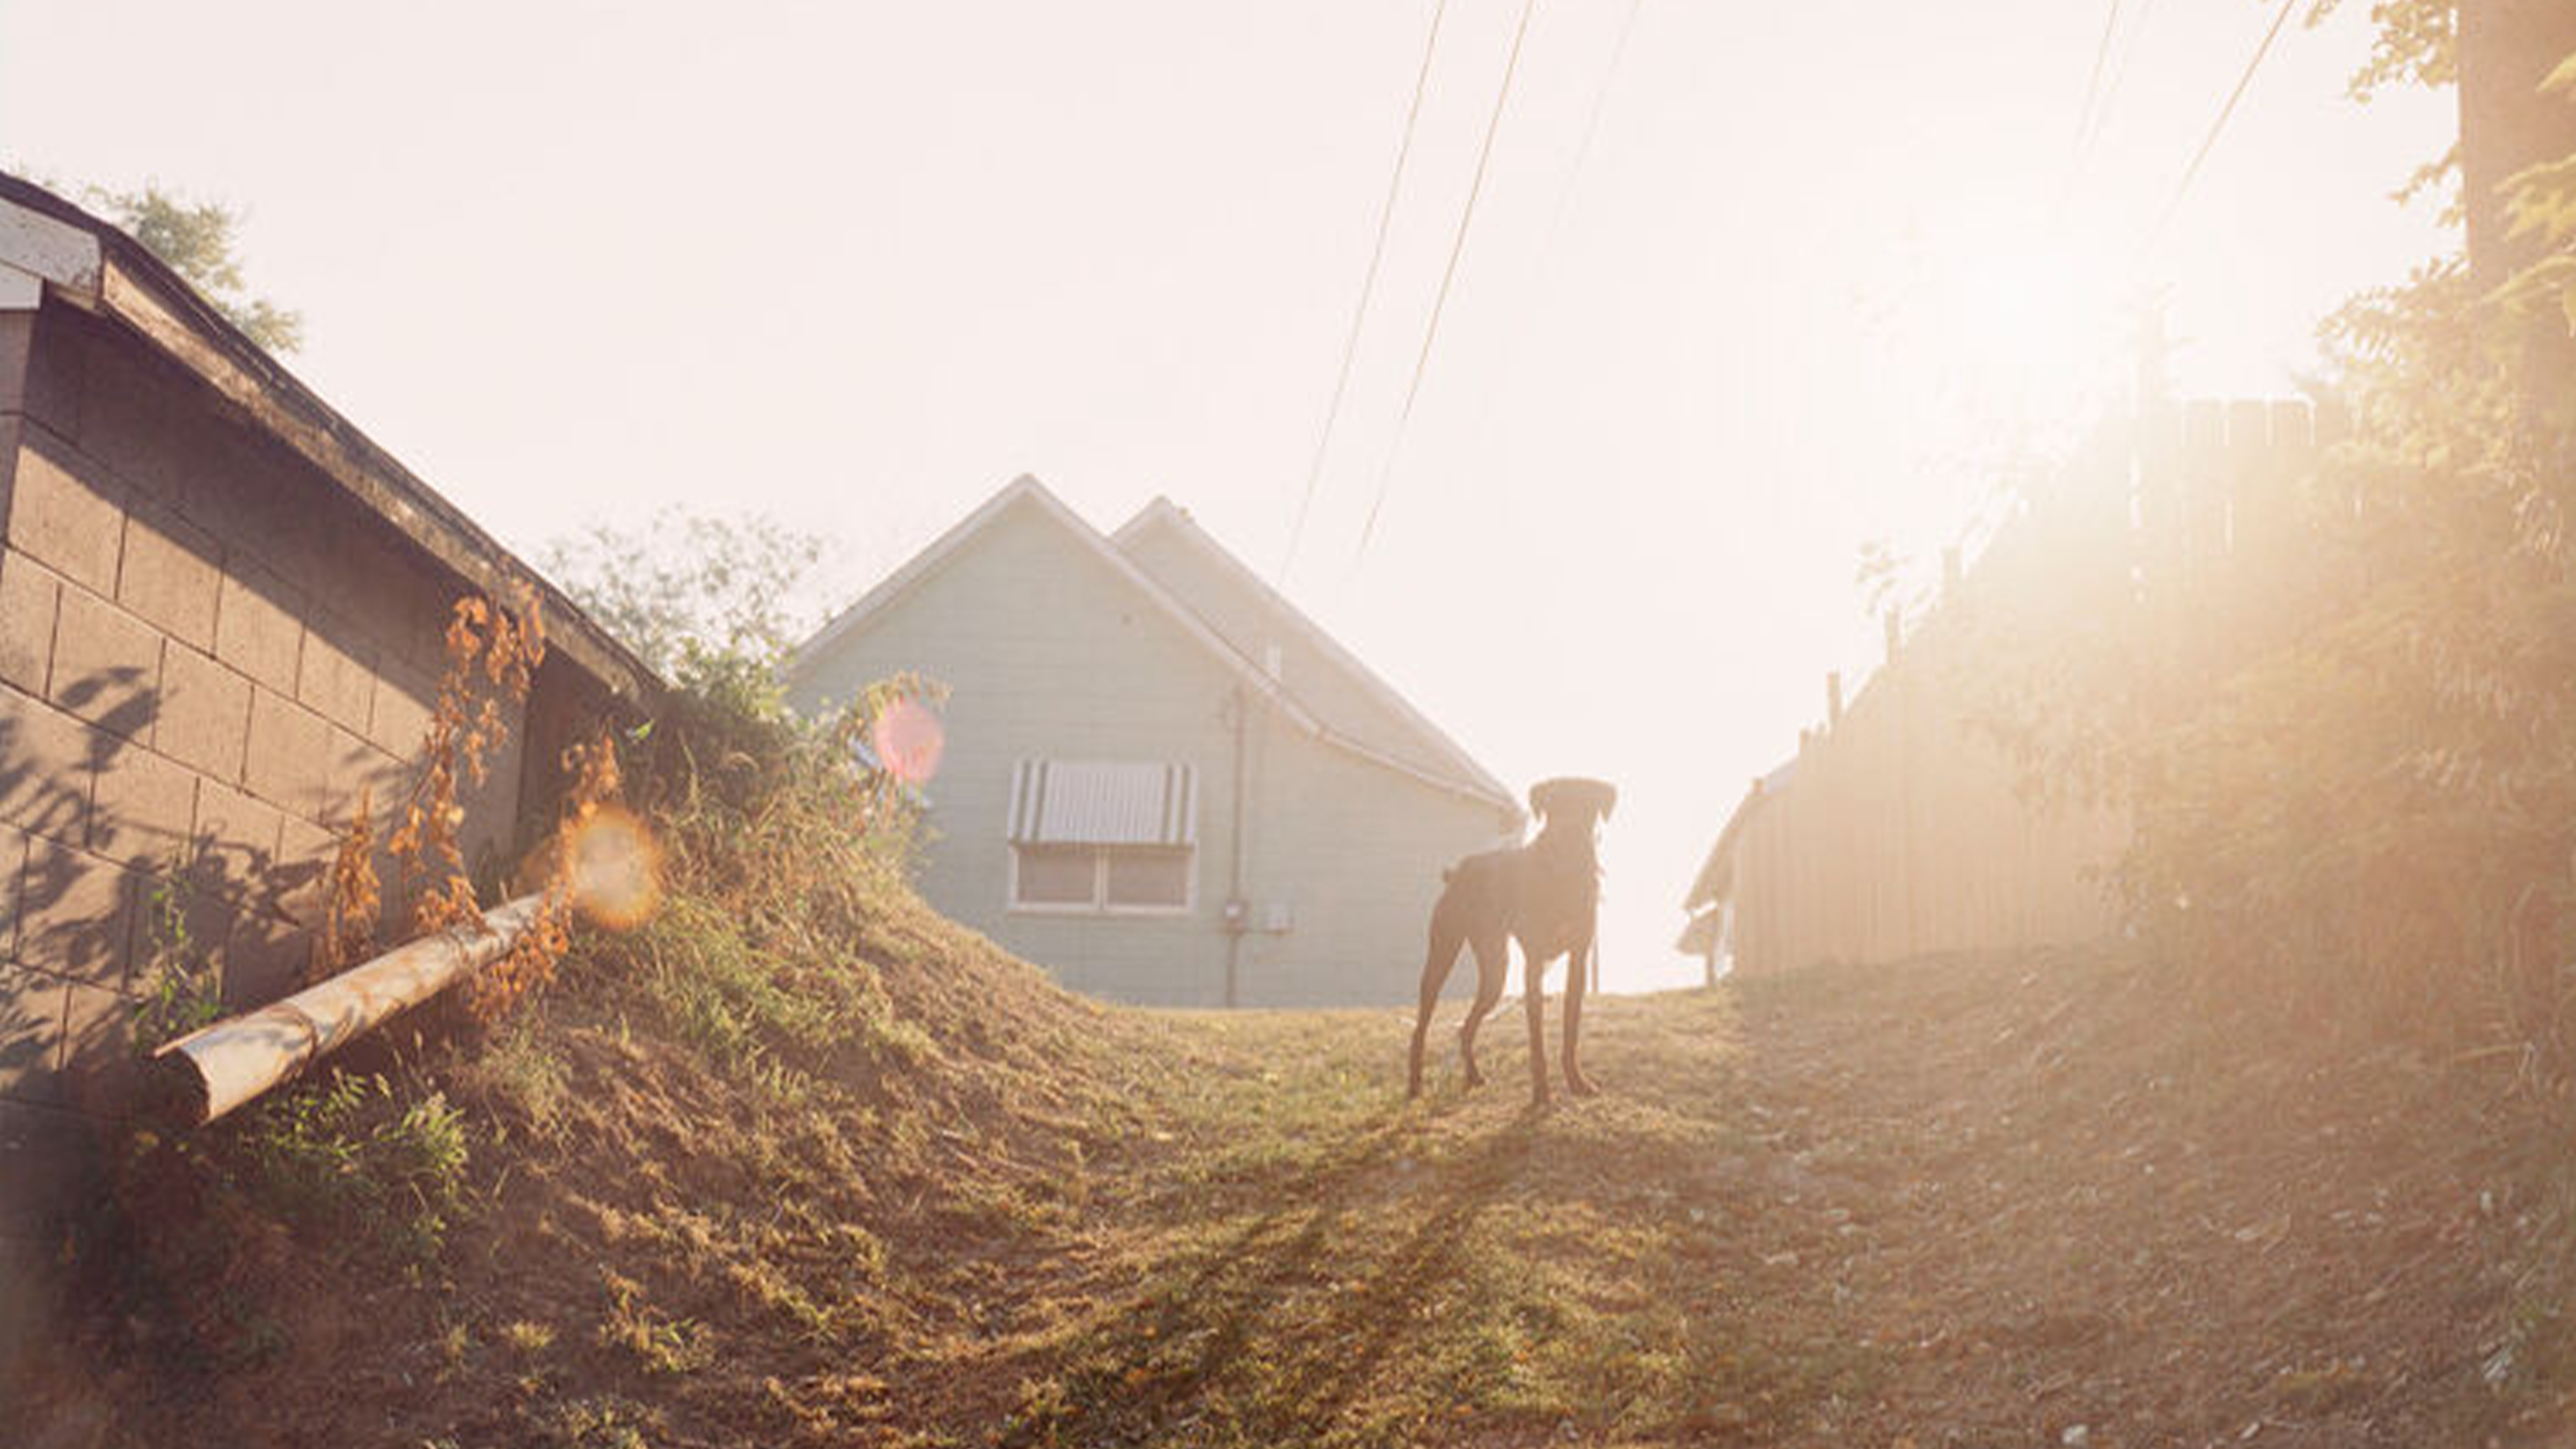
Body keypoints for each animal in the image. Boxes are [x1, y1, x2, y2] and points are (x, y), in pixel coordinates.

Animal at [1411, 773, 1607, 1098]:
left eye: (1587, 807)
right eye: (1553, 806)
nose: (1568, 833)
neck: (1562, 873)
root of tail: (1457, 872)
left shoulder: (1578, 962)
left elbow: (1571, 1027)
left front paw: (1577, 1082)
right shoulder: (1535, 963)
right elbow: (1537, 1038)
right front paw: (1541, 1094)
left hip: (1495, 971)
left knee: (1466, 1027)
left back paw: (1473, 1076)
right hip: (1442, 955)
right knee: (1421, 1025)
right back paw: (1414, 1084)